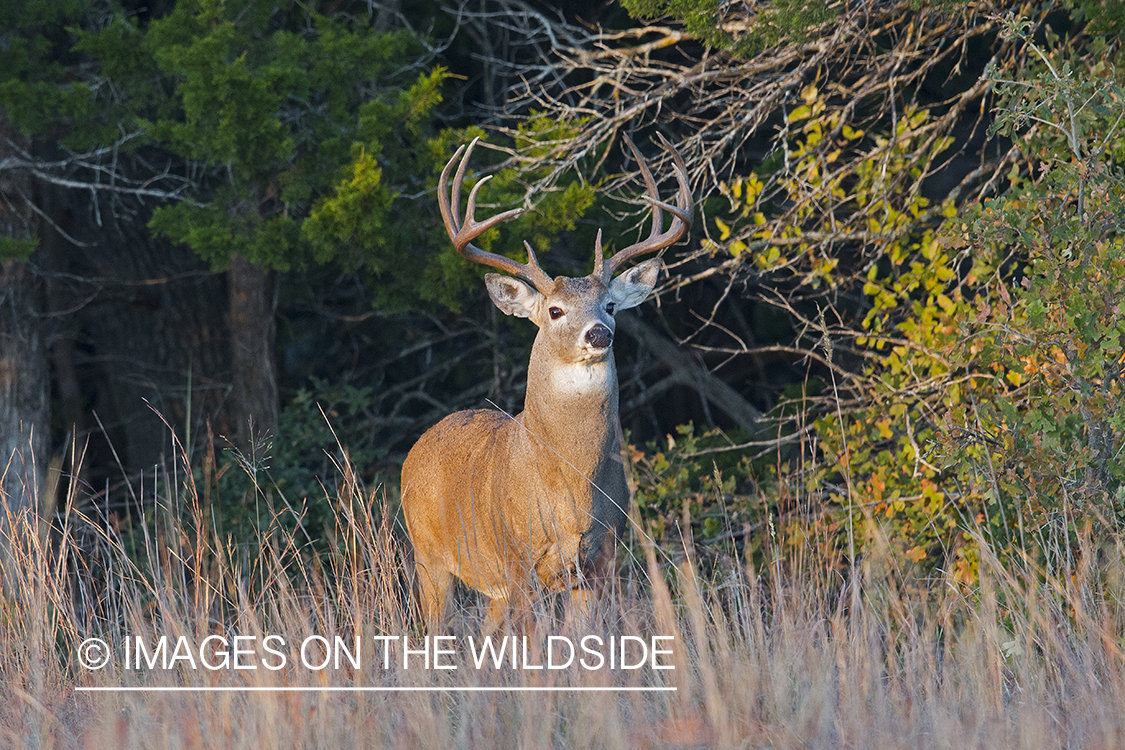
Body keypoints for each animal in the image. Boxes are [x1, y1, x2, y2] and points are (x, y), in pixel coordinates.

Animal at [400, 136, 688, 634]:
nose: (599, 334)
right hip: (429, 557)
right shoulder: (517, 560)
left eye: (611, 305)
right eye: (555, 311)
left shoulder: (599, 560)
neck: (571, 491)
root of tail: (417, 448)